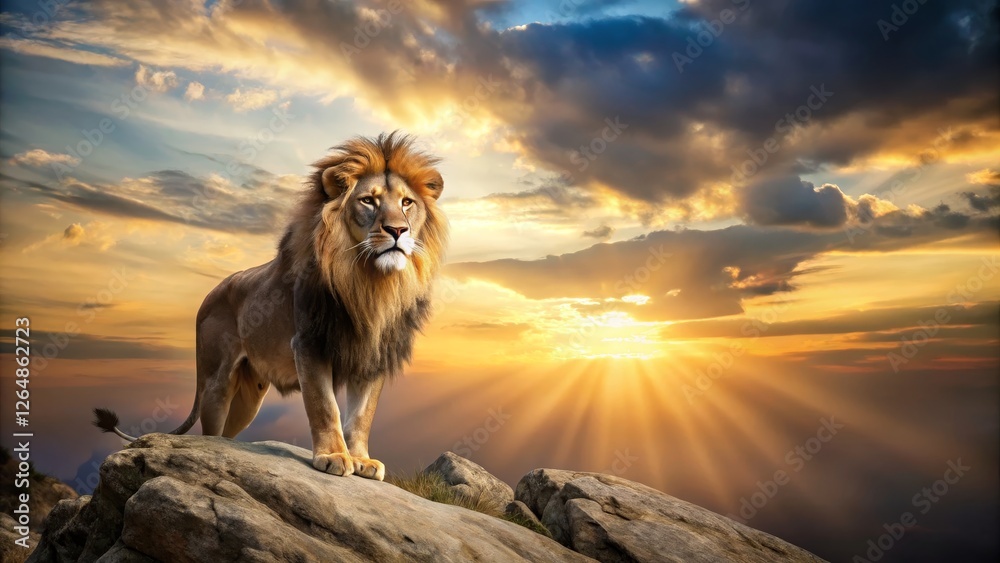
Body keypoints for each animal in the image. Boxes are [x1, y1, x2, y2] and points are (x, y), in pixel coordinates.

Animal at [94, 132, 448, 481]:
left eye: (406, 203)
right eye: (368, 200)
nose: (398, 230)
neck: (370, 282)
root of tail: (208, 296)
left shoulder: (373, 353)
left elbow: (363, 414)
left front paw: (362, 460)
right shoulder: (309, 344)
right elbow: (325, 406)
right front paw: (334, 456)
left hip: (249, 398)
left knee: (229, 433)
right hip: (216, 384)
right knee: (211, 432)